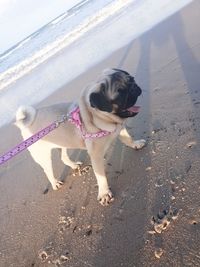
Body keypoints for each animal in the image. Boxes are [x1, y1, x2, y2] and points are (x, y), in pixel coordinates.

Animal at [15, 68, 145, 206]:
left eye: (132, 79)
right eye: (120, 93)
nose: (134, 87)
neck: (100, 117)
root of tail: (27, 123)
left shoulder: (120, 129)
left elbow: (128, 139)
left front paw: (136, 144)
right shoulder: (96, 155)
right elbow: (101, 176)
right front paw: (104, 193)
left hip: (63, 143)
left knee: (63, 157)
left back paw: (73, 165)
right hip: (43, 156)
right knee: (48, 171)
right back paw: (55, 183)